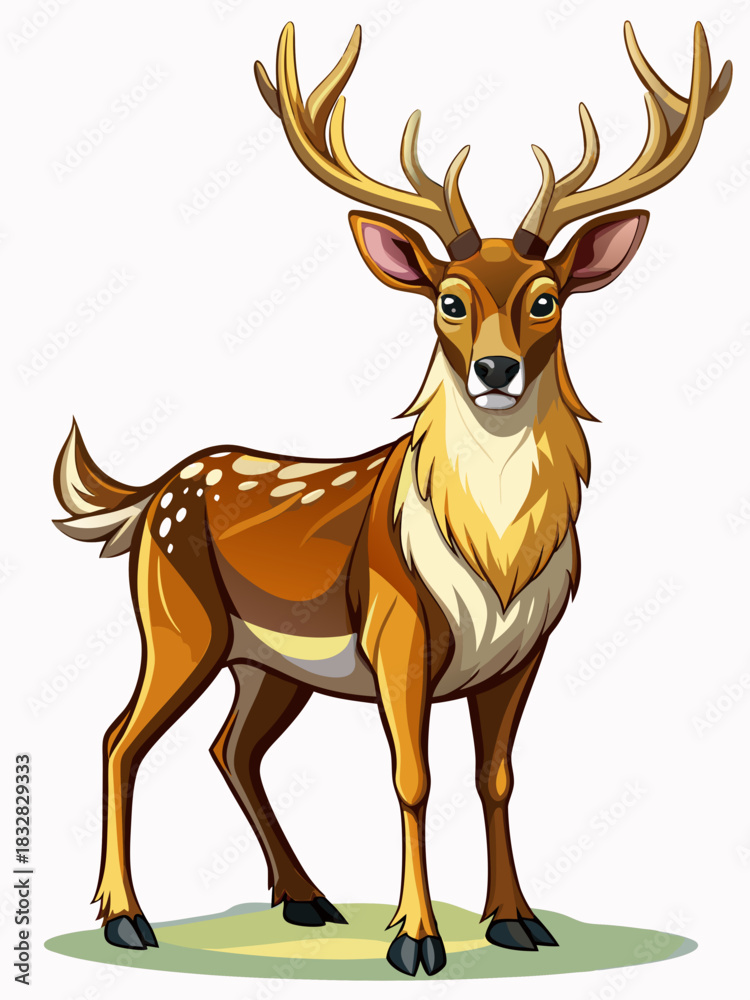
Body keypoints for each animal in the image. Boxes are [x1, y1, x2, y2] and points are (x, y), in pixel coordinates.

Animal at [53, 20, 730, 977]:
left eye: (546, 299)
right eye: (447, 300)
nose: (496, 369)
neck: (497, 563)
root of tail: (151, 495)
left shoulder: (527, 650)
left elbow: (496, 778)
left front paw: (517, 920)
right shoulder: (396, 628)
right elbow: (414, 779)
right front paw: (417, 938)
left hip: (269, 663)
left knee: (231, 748)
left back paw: (305, 898)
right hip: (179, 618)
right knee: (120, 736)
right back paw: (125, 917)